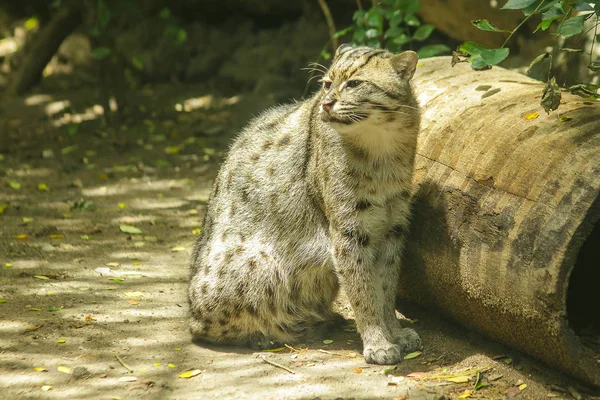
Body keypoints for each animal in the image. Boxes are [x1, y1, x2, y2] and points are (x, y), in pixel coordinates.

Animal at [190, 45, 420, 364]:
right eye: (326, 84)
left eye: (354, 84)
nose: (326, 103)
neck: (381, 148)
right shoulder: (348, 230)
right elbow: (362, 289)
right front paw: (378, 343)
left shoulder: (393, 225)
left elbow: (386, 288)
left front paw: (394, 333)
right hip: (260, 264)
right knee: (199, 328)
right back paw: (267, 334)